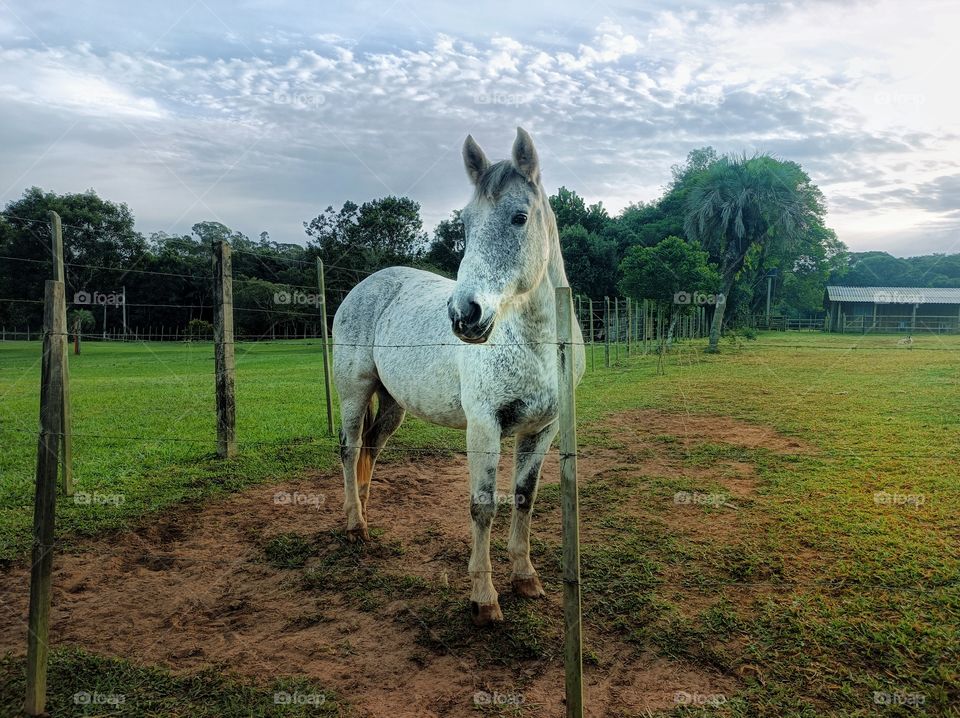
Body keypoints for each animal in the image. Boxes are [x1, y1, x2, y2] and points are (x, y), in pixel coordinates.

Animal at [332, 127, 585, 625]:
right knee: (350, 450)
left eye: (519, 217)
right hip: (355, 391)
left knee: (371, 448)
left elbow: (524, 497)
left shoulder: (543, 429)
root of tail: (365, 285)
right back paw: (354, 525)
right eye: (466, 224)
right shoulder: (484, 426)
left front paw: (525, 577)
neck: (538, 345)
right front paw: (484, 597)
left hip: (393, 405)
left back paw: (366, 513)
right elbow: (482, 506)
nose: (464, 314)